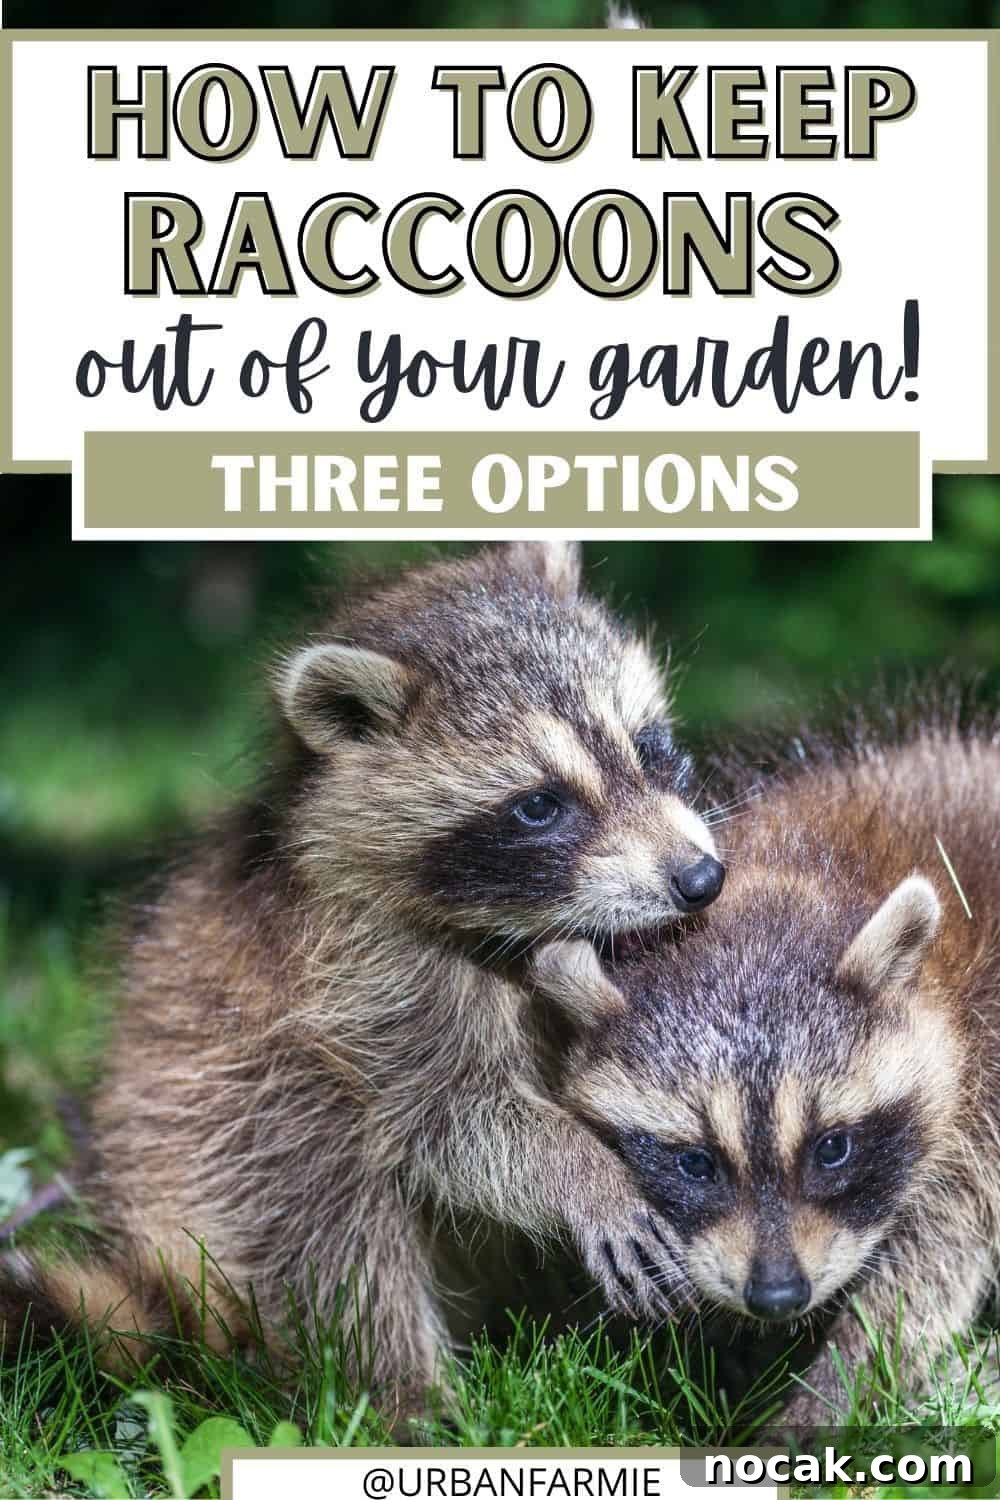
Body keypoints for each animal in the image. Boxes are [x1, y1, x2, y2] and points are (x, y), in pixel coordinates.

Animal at [0, 540, 722, 1422]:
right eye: (540, 805)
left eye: (649, 745)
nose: (700, 879)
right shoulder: (358, 975)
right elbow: (446, 1118)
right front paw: (578, 1170)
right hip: (210, 1144)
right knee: (322, 1197)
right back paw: (410, 1397)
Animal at [530, 712, 1000, 1425]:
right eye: (695, 1163)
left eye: (833, 1148)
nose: (777, 1296)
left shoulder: (984, 1080)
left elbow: (938, 1256)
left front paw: (836, 1385)